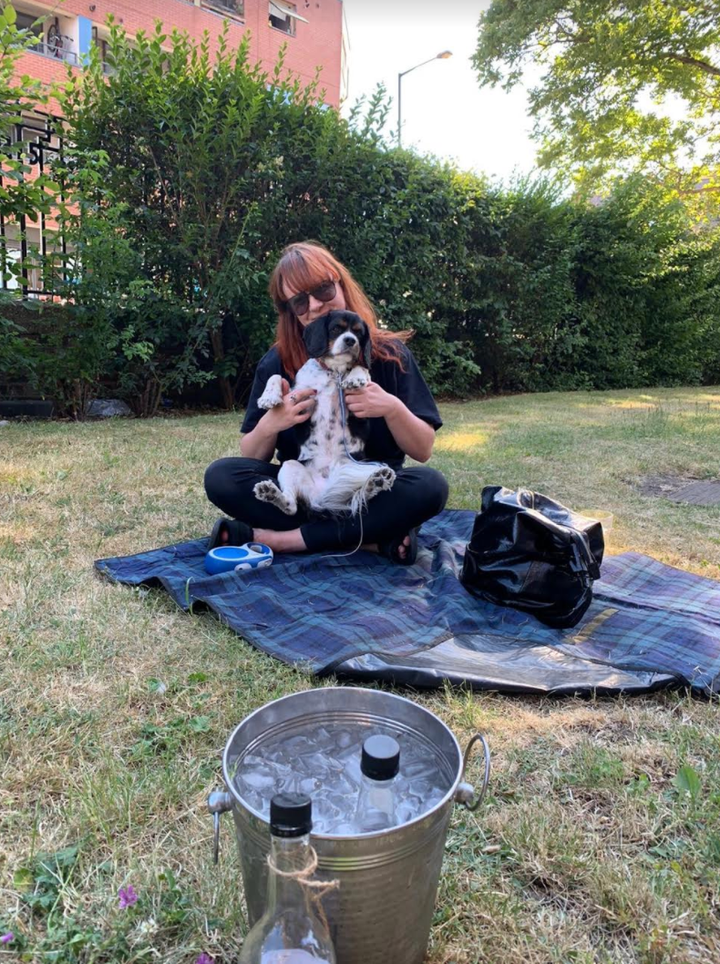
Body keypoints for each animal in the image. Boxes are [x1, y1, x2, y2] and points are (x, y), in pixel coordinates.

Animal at [253, 312, 396, 516]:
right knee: (291, 506)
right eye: (336, 328)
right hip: (290, 465)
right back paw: (271, 493)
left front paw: (355, 378)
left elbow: (361, 367)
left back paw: (375, 482)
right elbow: (276, 376)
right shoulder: (303, 401)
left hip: (363, 466)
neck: (333, 371)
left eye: (359, 333)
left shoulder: (358, 413)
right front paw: (268, 398)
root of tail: (321, 495)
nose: (350, 340)